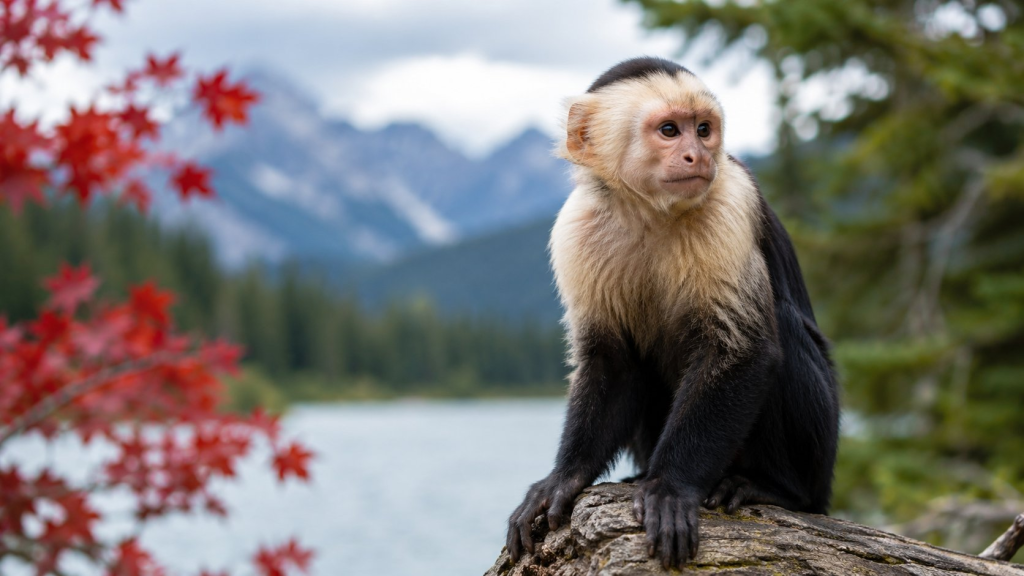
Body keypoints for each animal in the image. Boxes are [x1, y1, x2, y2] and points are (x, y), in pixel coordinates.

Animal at [505, 57, 840, 569]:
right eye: (669, 130)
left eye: (703, 130)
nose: (697, 156)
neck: (649, 211)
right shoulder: (575, 228)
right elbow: (612, 361)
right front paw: (565, 477)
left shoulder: (729, 202)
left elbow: (740, 350)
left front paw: (671, 487)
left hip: (822, 460)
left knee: (780, 328)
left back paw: (778, 489)